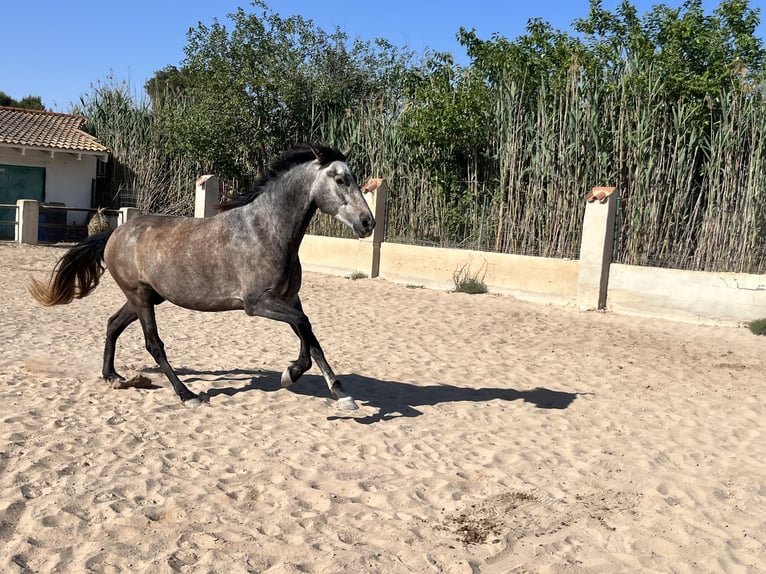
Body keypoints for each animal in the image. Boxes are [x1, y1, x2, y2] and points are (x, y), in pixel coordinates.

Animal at [30, 146, 378, 412]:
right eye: (340, 179)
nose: (367, 223)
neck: (266, 230)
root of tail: (115, 232)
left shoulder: (289, 298)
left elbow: (312, 338)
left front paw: (342, 394)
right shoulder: (258, 303)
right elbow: (304, 326)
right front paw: (290, 374)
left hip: (145, 297)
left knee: (113, 324)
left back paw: (112, 376)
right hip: (140, 297)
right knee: (153, 344)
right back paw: (187, 395)